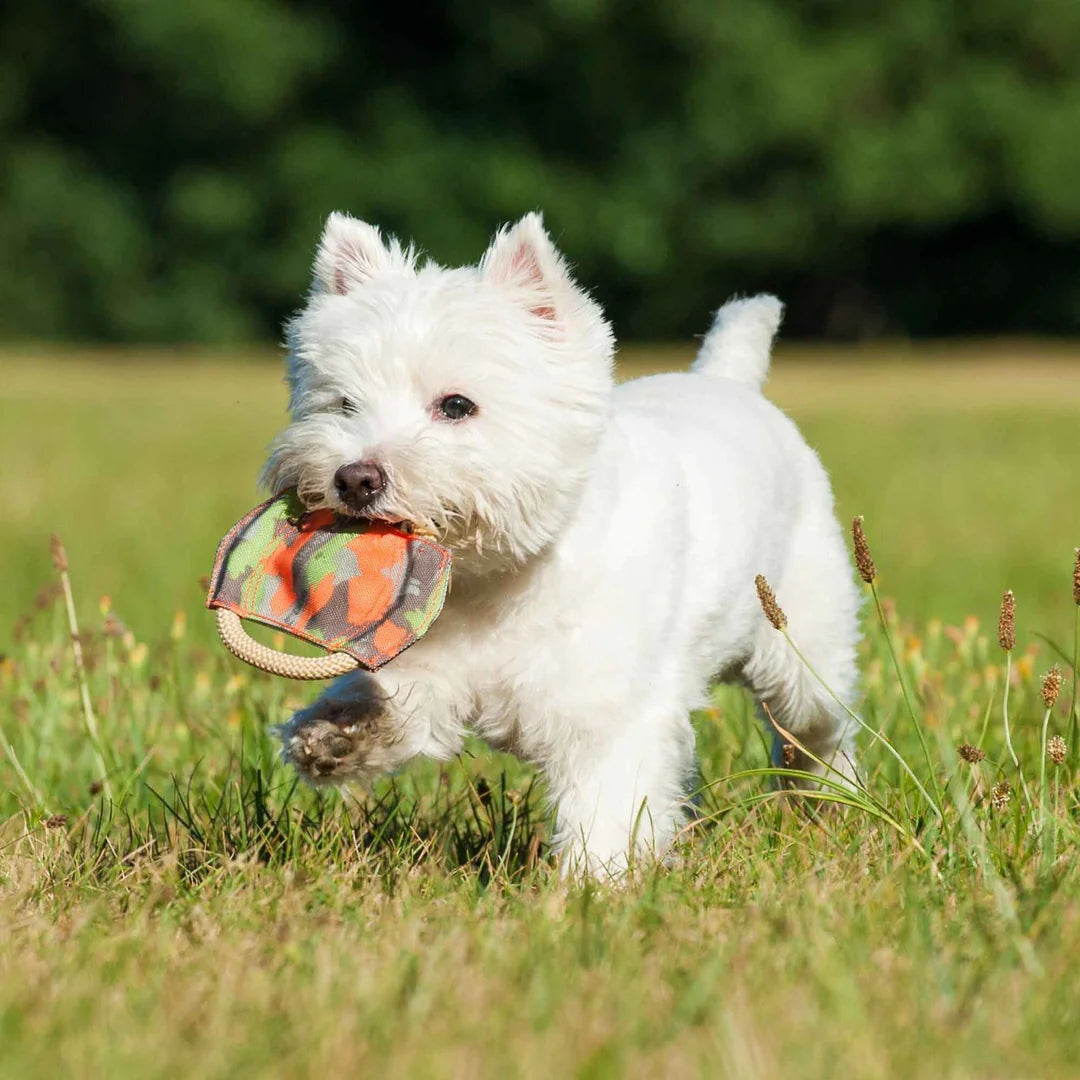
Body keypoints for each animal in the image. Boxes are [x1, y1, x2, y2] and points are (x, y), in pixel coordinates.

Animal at [263, 210, 859, 876]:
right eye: (342, 403)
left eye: (456, 405)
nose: (355, 478)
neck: (493, 583)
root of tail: (728, 382)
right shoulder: (430, 670)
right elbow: (395, 706)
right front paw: (333, 735)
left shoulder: (609, 711)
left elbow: (607, 808)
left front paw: (593, 886)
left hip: (802, 649)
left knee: (819, 729)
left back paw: (830, 803)